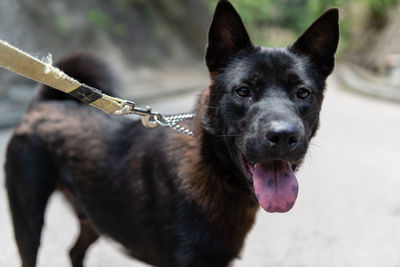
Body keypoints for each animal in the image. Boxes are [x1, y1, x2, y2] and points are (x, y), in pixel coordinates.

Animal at [4, 1, 340, 266]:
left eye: (303, 93)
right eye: (243, 91)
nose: (282, 136)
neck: (214, 170)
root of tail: (42, 105)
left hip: (95, 214)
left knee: (74, 251)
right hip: (29, 220)